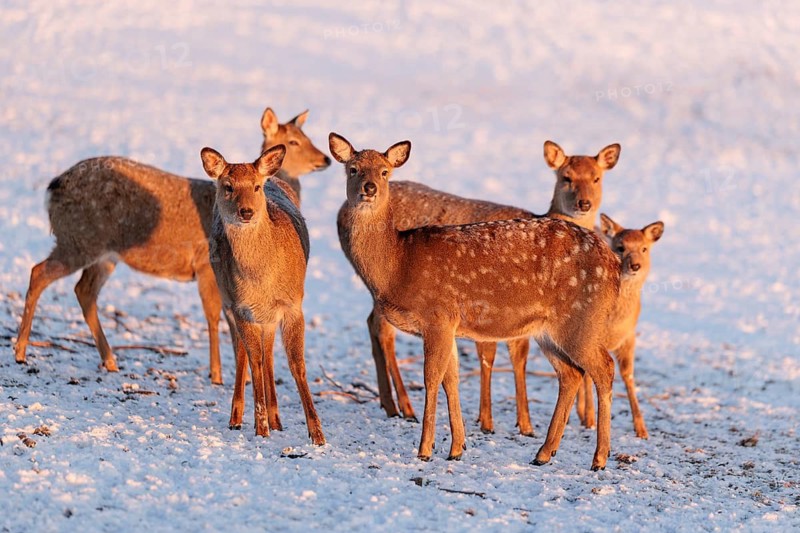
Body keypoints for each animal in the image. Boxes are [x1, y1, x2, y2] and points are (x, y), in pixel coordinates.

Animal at [13, 108, 329, 384]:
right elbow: (214, 316)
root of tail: (52, 187)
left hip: (103, 252)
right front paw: (217, 375)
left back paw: (110, 360)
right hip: (78, 239)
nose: (324, 159)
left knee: (83, 290)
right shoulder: (205, 266)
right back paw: (20, 351)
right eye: (293, 141)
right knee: (39, 272)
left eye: (307, 136)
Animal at [200, 145, 324, 444]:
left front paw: (317, 434)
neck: (262, 278)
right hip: (227, 298)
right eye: (228, 186)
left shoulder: (293, 304)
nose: (246, 212)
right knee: (243, 353)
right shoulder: (241, 307)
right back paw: (236, 418)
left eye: (256, 186)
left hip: (268, 316)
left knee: (268, 352)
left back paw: (277, 418)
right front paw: (260, 428)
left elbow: (296, 364)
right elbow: (253, 360)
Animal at [330, 132, 621, 469]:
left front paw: (425, 449)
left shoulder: (437, 315)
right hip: (549, 330)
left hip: (580, 319)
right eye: (353, 169)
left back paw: (599, 457)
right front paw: (457, 447)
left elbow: (432, 378)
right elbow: (451, 379)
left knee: (604, 368)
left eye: (384, 171)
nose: (369, 188)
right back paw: (544, 453)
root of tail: (613, 265)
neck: (398, 264)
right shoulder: (449, 325)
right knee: (571, 374)